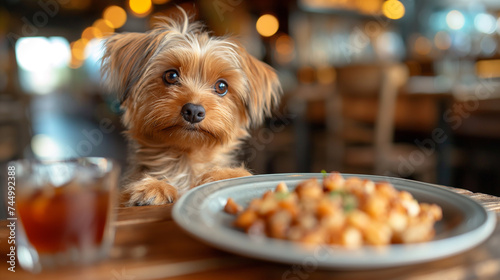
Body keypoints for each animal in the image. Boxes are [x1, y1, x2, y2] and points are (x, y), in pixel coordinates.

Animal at [101, 8, 282, 206]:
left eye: (222, 86)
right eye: (171, 75)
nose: (194, 111)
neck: (185, 162)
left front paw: (223, 176)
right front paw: (155, 187)